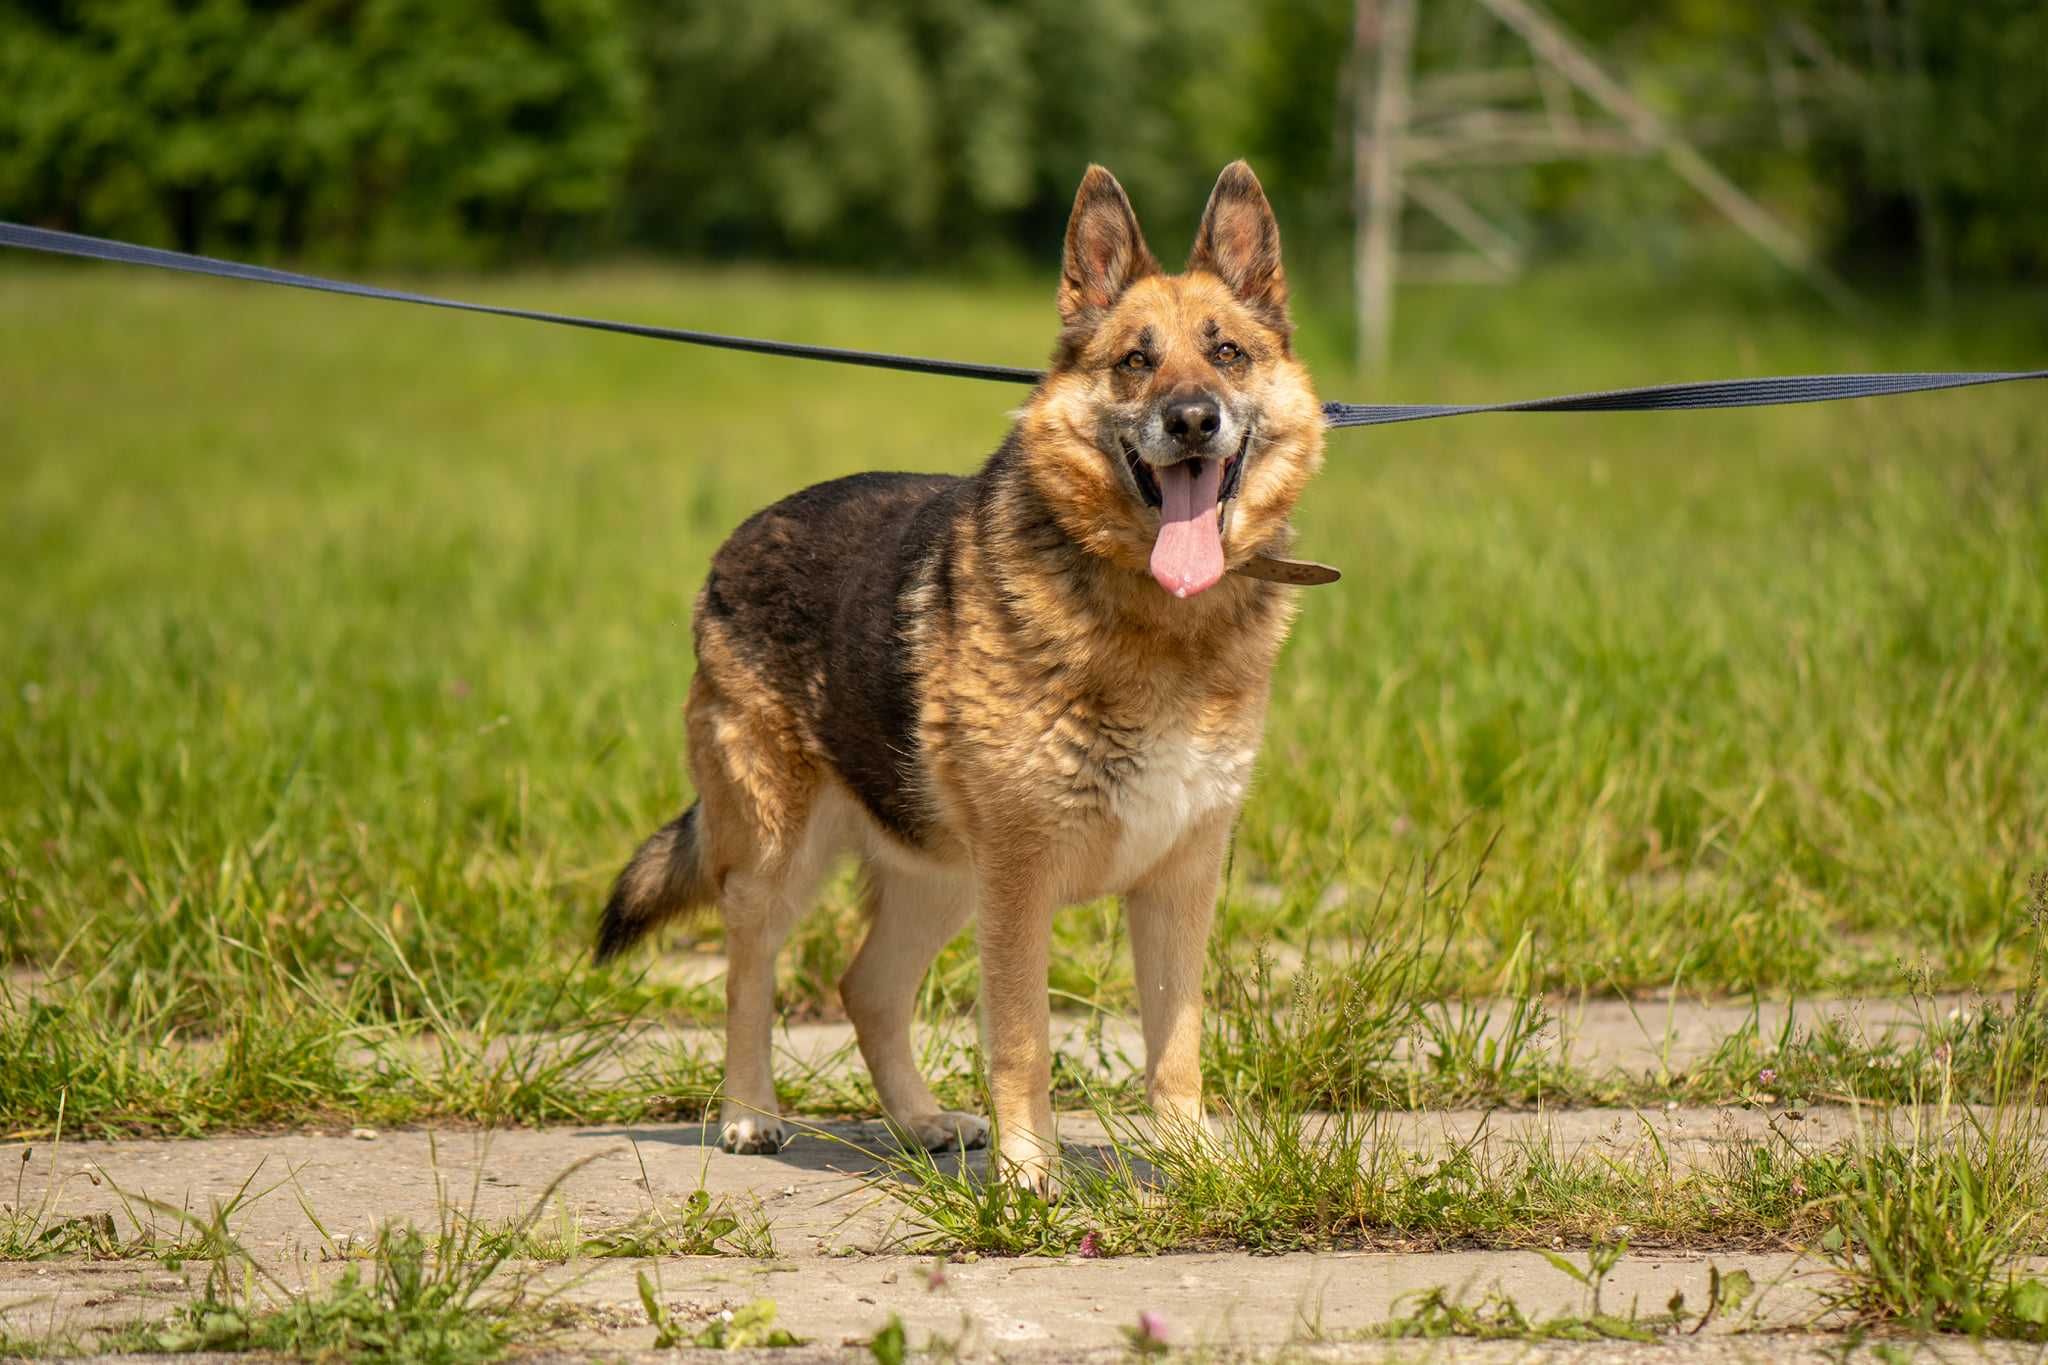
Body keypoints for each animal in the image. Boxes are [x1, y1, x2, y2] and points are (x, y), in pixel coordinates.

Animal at [593, 157, 1327, 1186]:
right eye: (1135, 362)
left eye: (1226, 352)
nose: (1192, 420)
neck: (1155, 620)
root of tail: (738, 540)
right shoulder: (1020, 883)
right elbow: (1022, 1038)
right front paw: (1029, 1177)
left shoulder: (1180, 879)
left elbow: (1176, 1044)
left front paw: (1196, 1162)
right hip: (782, 854)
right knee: (750, 969)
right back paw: (748, 1114)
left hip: (938, 871)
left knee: (865, 985)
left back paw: (919, 1120)